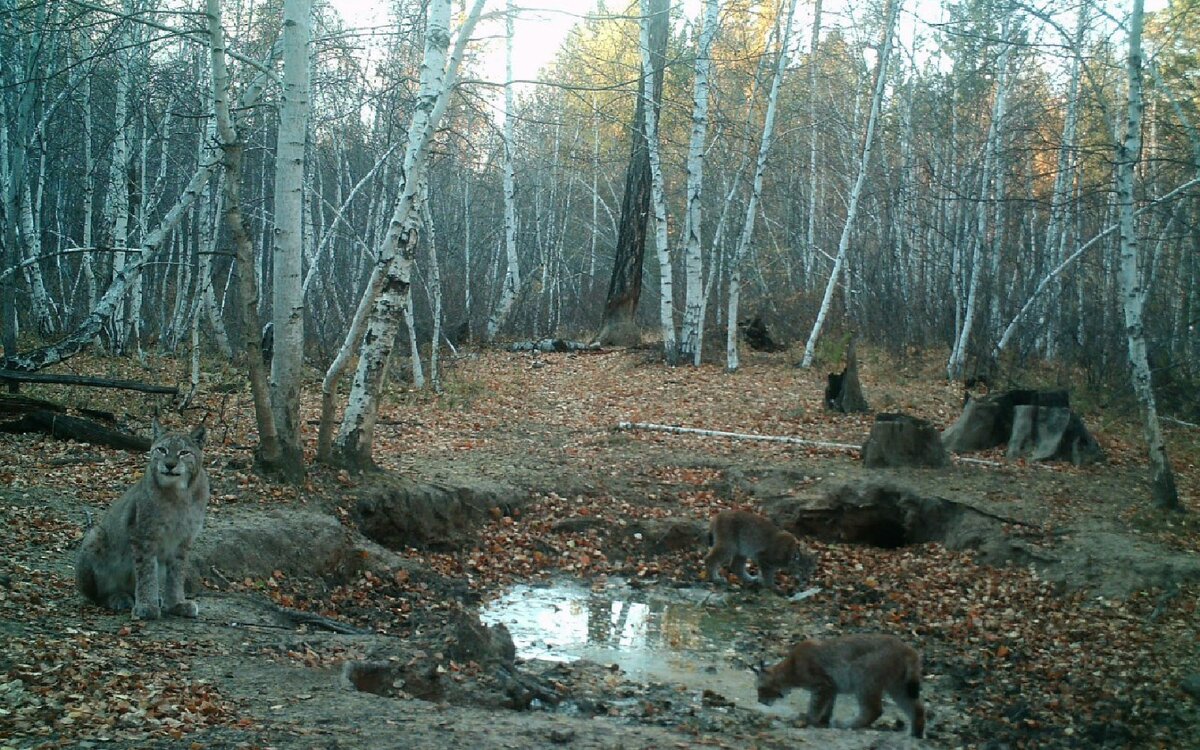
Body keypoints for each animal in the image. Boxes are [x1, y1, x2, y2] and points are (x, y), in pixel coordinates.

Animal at [76, 422, 210, 619]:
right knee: (94, 596)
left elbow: (176, 573)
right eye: (162, 450)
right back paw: (117, 597)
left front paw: (176, 604)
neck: (179, 493)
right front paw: (147, 606)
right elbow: (146, 571)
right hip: (95, 534)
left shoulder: (183, 539)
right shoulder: (143, 535)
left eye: (184, 453)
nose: (170, 465)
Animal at [748, 633, 926, 739]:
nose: (759, 701)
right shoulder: (831, 687)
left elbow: (815, 705)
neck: (790, 669)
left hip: (864, 678)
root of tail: (906, 647)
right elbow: (828, 705)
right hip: (898, 686)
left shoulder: (822, 685)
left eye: (760, 689)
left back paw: (846, 725)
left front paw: (807, 719)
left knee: (874, 710)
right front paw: (823, 721)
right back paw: (916, 734)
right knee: (917, 708)